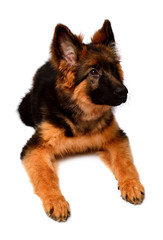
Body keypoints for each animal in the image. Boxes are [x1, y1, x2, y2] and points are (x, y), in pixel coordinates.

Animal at [17, 19, 145, 222]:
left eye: (113, 70)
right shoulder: (34, 149)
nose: (124, 92)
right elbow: (45, 176)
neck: (82, 114)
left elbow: (125, 162)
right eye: (93, 72)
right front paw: (56, 200)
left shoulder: (117, 137)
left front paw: (131, 185)